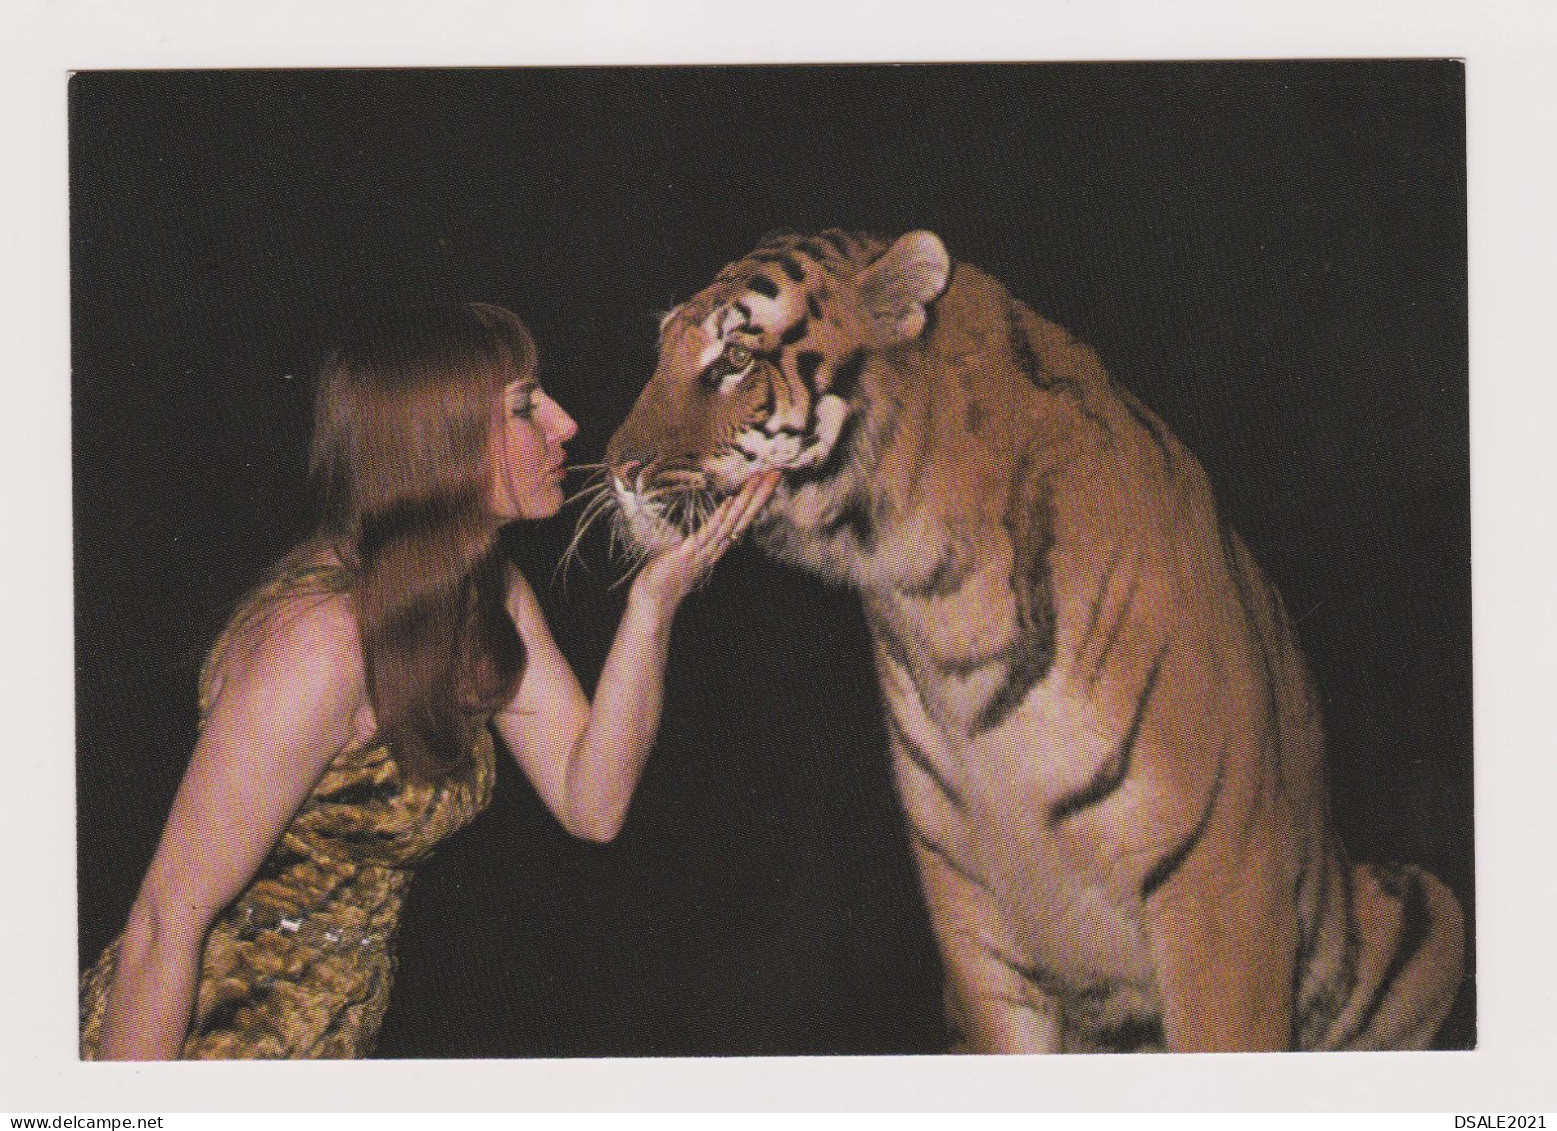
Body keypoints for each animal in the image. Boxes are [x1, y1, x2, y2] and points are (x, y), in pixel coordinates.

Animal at [588, 227, 1463, 1053]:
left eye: (734, 358)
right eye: (665, 350)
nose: (616, 469)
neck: (929, 591)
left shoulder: (1222, 891)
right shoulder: (973, 921)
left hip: (1429, 914)